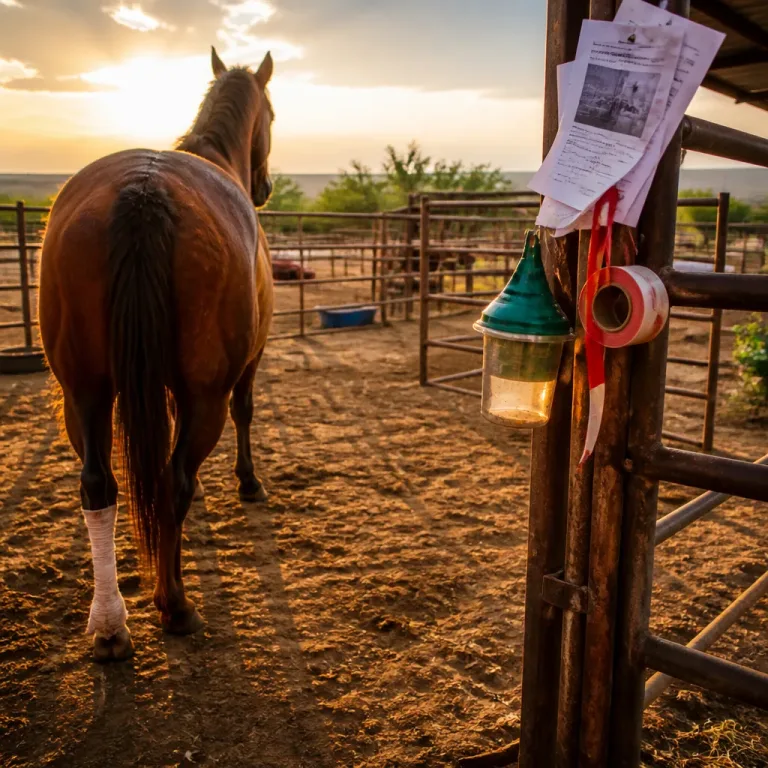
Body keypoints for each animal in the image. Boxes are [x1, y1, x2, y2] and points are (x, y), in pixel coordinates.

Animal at [38, 47, 275, 661]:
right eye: (271, 115)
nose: (265, 186)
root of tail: (144, 191)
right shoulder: (248, 363)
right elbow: (245, 412)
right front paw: (248, 482)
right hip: (202, 396)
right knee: (173, 480)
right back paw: (175, 605)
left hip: (84, 391)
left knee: (99, 486)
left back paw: (110, 626)